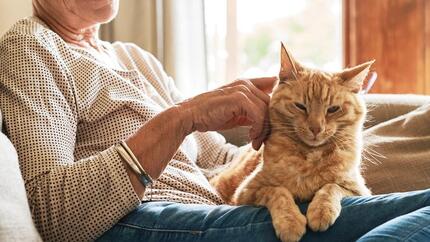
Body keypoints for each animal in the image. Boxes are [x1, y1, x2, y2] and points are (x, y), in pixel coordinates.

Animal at [212, 43, 372, 242]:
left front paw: (321, 210)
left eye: (333, 109)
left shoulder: (359, 189)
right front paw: (290, 223)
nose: (316, 128)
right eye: (301, 106)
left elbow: (331, 186)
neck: (309, 157)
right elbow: (278, 191)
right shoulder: (246, 193)